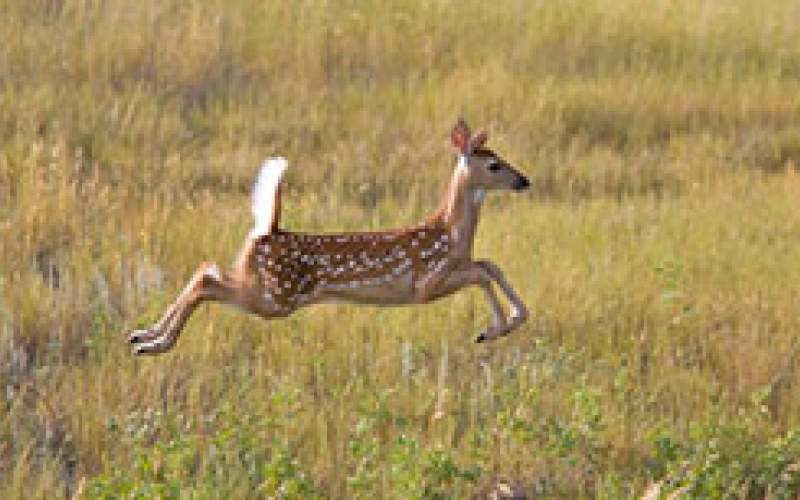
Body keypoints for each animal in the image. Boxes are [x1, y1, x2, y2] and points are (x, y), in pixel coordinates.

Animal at [130, 119, 532, 356]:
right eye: (494, 164)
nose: (524, 180)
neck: (451, 234)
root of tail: (267, 230)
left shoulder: (456, 267)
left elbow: (490, 264)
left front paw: (507, 323)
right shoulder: (427, 283)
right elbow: (482, 272)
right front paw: (493, 330)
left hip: (262, 287)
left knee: (205, 269)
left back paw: (142, 336)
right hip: (275, 297)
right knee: (206, 281)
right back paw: (155, 343)